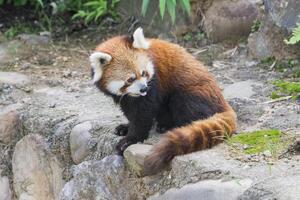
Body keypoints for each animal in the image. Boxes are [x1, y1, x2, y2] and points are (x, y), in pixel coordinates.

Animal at [89, 27, 237, 174]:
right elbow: (130, 111)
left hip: (197, 93)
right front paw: (126, 126)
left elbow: (143, 112)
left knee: (184, 103)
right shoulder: (126, 97)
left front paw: (131, 139)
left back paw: (171, 126)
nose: (143, 88)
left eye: (143, 73)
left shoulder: (154, 82)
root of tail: (223, 102)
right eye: (130, 79)